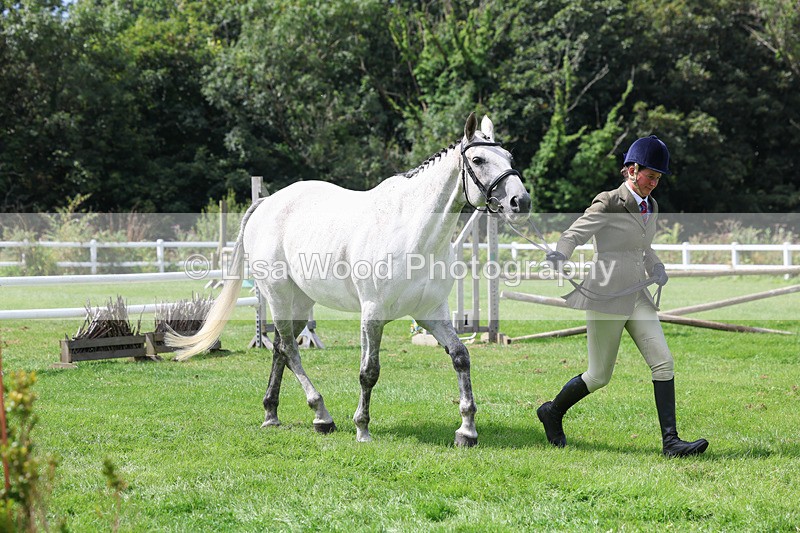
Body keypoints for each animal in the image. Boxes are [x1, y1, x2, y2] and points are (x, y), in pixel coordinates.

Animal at [166, 112, 531, 446]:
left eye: (509, 158)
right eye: (478, 159)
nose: (521, 202)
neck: (414, 232)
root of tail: (267, 203)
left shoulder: (431, 313)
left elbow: (460, 357)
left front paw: (467, 430)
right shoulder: (373, 315)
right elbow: (369, 371)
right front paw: (362, 429)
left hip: (302, 301)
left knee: (281, 349)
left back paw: (272, 413)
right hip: (278, 294)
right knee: (290, 349)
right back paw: (321, 415)